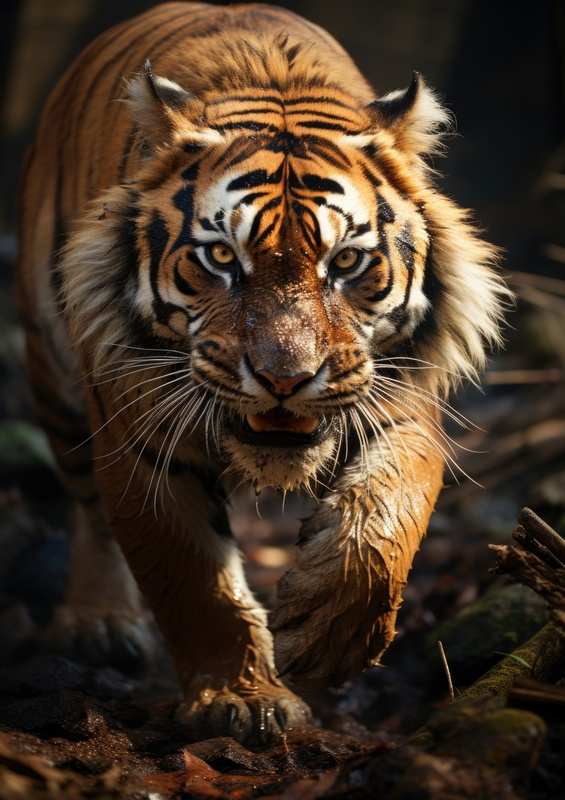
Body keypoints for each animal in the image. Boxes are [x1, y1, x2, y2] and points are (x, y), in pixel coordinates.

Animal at [17, 1, 508, 743]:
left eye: (346, 262)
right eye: (221, 257)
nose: (284, 378)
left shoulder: (398, 398)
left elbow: (387, 520)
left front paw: (325, 635)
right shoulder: (141, 434)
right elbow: (193, 577)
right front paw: (240, 698)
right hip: (55, 373)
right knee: (86, 505)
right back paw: (98, 624)